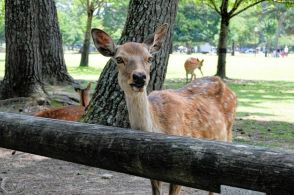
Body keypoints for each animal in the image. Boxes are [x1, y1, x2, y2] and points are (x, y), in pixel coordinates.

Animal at [91, 24, 237, 195]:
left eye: (149, 58)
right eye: (119, 59)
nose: (139, 77)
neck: (159, 128)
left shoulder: (182, 168)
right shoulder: (151, 172)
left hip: (227, 137)